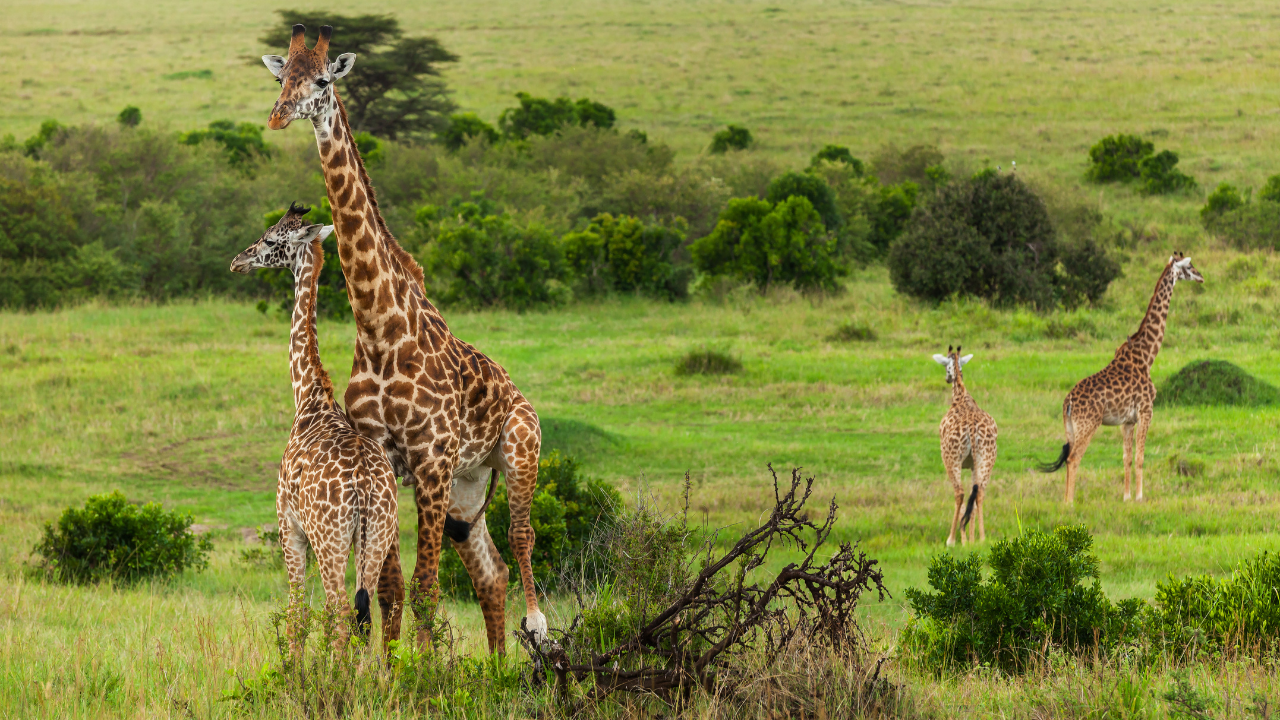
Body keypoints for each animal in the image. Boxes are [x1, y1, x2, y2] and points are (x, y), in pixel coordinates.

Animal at [230, 202, 399, 650]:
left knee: (340, 611)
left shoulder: (288, 525)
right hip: (377, 536)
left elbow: (296, 614)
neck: (308, 395)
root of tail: (364, 487)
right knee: (366, 615)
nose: (238, 260)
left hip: (329, 539)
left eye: (271, 239)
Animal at [259, 26, 545, 650]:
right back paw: (496, 666)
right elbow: (388, 592)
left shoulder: (431, 462)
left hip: (518, 453)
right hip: (468, 485)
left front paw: (420, 668)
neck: (380, 328)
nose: (278, 116)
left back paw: (537, 628)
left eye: (323, 81)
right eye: (281, 77)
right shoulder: (388, 459)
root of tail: (517, 394)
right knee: (490, 571)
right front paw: (394, 666)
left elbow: (424, 591)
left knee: (522, 537)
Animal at [931, 343, 998, 543]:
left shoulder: (959, 462)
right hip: (986, 459)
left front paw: (963, 539)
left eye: (945, 366)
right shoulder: (972, 464)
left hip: (950, 459)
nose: (947, 379)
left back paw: (951, 539)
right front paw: (971, 539)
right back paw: (982, 538)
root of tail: (973, 429)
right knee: (979, 493)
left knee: (959, 493)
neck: (961, 396)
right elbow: (973, 498)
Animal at [1034, 254, 1203, 502]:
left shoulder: (1127, 420)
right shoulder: (1146, 411)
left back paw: (1065, 500)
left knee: (1068, 457)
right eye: (1189, 266)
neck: (1148, 354)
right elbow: (1141, 457)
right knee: (1074, 458)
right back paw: (1070, 503)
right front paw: (1140, 498)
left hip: (1070, 428)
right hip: (1088, 425)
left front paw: (1126, 497)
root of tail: (1068, 403)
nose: (1201, 277)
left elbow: (1127, 458)